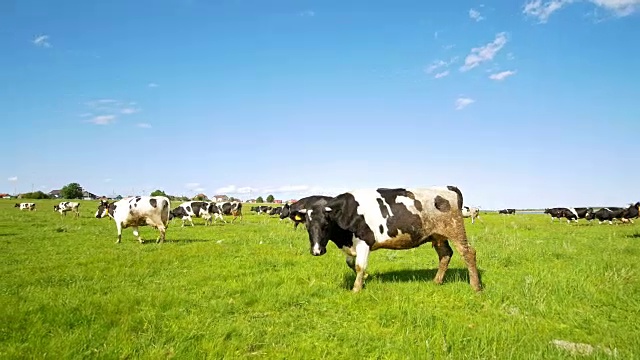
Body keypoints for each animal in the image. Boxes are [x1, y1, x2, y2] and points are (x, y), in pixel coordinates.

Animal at [298, 187, 482, 294]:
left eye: (326, 225)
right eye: (307, 226)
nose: (316, 251)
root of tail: (448, 188)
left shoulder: (364, 240)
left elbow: (359, 265)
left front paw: (356, 289)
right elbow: (351, 263)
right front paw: (365, 278)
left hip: (455, 229)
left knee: (468, 253)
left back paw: (476, 286)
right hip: (438, 235)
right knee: (445, 254)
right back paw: (437, 281)